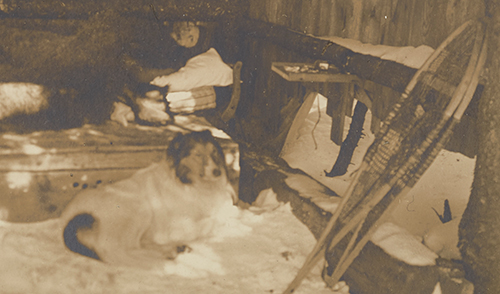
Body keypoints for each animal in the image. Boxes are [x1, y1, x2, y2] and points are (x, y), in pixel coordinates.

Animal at [60, 131, 236, 272]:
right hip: (139, 209)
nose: (217, 172)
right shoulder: (179, 227)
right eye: (197, 154)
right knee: (124, 250)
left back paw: (175, 249)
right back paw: (169, 252)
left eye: (214, 152)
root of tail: (69, 221)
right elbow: (214, 220)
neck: (190, 184)